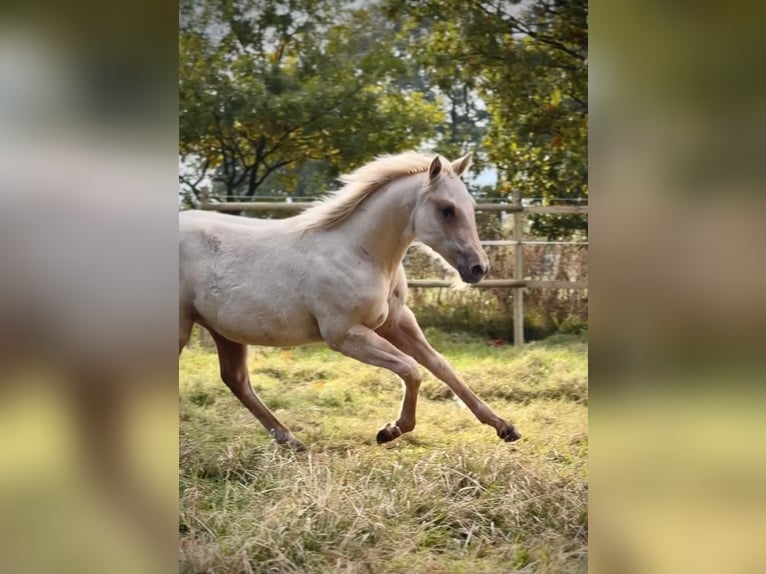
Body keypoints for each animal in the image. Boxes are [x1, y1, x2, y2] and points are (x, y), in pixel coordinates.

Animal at [179, 152, 521, 450]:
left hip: (224, 331)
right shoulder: (344, 335)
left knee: (236, 380)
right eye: (447, 209)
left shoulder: (397, 322)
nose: (478, 268)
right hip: (183, 326)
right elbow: (411, 369)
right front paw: (391, 430)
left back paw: (292, 441)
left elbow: (441, 366)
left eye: (470, 206)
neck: (361, 253)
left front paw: (504, 427)